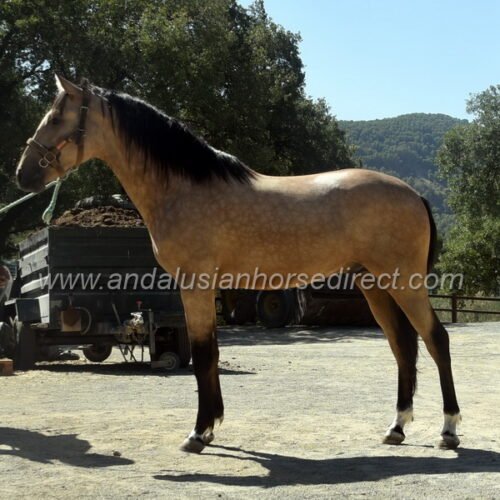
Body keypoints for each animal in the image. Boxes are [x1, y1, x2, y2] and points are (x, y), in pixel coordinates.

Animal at [15, 74, 460, 454]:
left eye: (56, 116)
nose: (22, 175)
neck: (183, 188)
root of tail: (414, 194)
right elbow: (210, 352)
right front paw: (211, 426)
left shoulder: (195, 285)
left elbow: (203, 355)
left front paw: (198, 433)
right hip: (374, 286)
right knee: (403, 346)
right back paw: (397, 427)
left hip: (403, 283)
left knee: (436, 340)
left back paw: (449, 430)